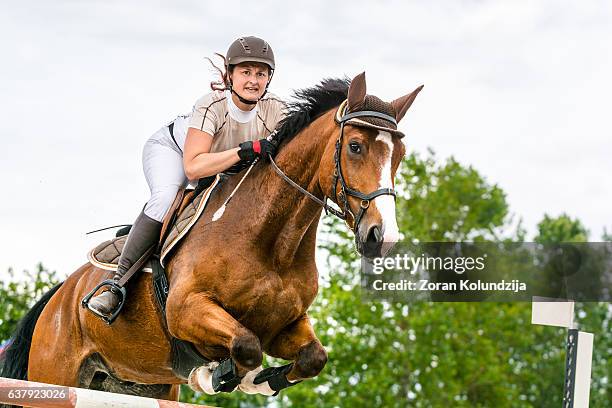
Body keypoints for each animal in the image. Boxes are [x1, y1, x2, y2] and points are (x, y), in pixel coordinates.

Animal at [0, 71, 420, 400]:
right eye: (355, 146)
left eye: (399, 155)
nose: (382, 237)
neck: (272, 243)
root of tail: (58, 297)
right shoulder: (186, 309)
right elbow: (246, 346)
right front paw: (217, 375)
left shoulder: (285, 325)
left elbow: (312, 357)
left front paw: (260, 382)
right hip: (55, 371)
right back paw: (109, 298)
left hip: (136, 384)